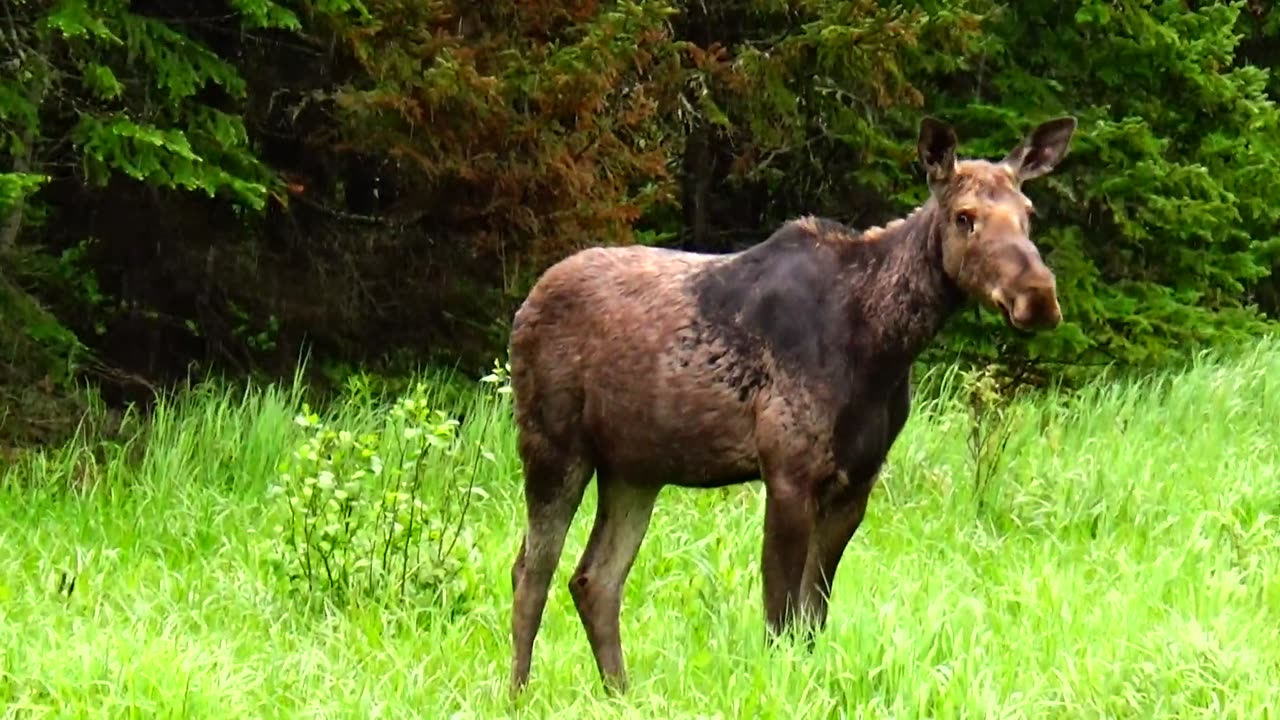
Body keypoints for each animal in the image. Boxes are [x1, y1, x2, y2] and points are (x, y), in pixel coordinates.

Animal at [504, 112, 1075, 691]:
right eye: (965, 217)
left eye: (1028, 214)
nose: (1039, 297)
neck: (884, 349)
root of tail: (525, 306)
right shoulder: (787, 470)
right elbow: (779, 618)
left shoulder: (857, 481)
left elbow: (812, 616)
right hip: (553, 444)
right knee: (532, 569)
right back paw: (518, 694)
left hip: (635, 468)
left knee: (594, 578)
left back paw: (621, 693)